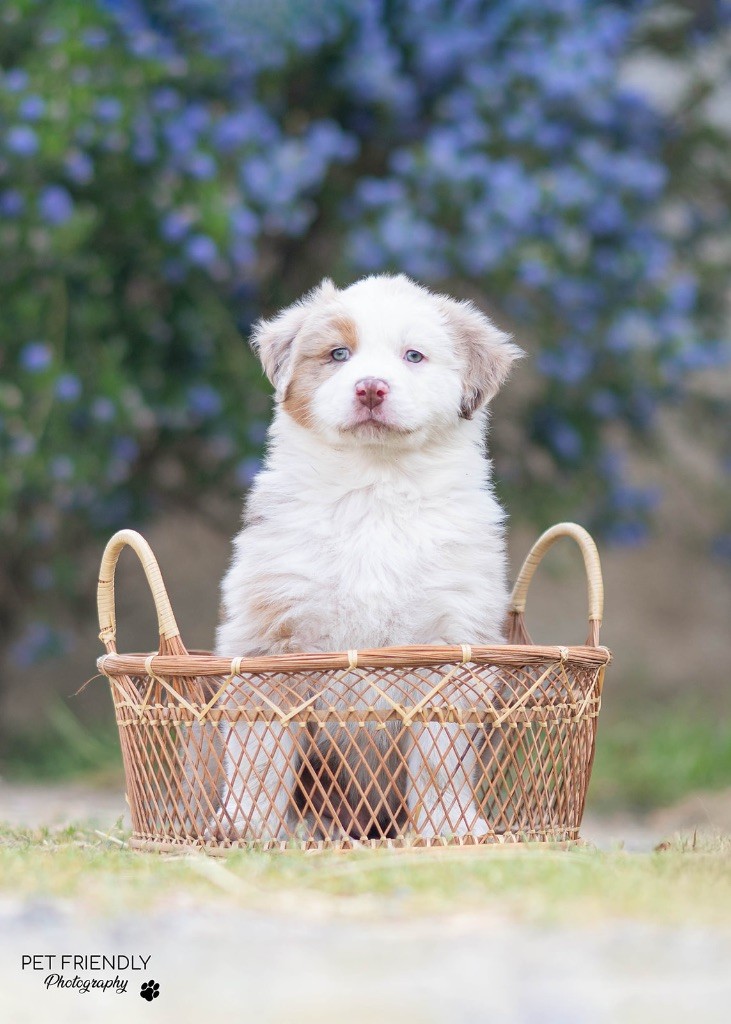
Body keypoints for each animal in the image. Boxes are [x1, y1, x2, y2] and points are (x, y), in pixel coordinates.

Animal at [215, 274, 523, 841]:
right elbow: (259, 752)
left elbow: (441, 761)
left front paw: (451, 827)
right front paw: (244, 824)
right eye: (339, 354)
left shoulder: (450, 638)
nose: (371, 388)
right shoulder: (272, 634)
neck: (375, 484)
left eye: (413, 356)